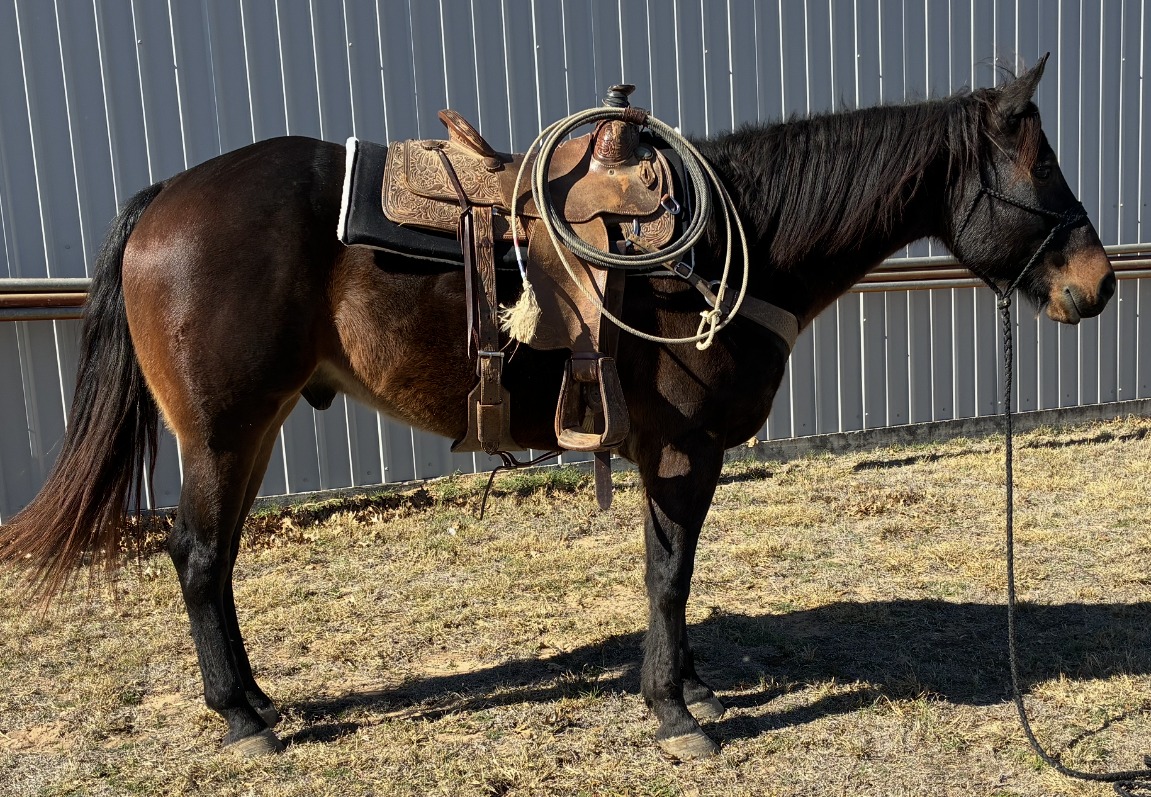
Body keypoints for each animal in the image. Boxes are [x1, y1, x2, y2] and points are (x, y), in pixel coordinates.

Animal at [0, 57, 1115, 759]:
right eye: (1038, 166)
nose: (1096, 284)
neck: (733, 243)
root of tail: (167, 197)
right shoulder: (686, 447)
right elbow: (667, 574)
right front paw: (674, 711)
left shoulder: (676, 453)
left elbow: (673, 570)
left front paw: (690, 686)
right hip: (222, 429)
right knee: (196, 556)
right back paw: (241, 716)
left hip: (251, 427)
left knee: (218, 558)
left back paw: (258, 697)